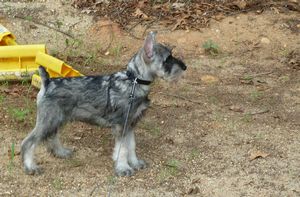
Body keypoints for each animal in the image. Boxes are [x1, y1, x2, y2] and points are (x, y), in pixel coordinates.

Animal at [20, 31, 185, 176]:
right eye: (168, 59)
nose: (184, 67)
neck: (134, 81)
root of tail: (47, 82)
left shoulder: (131, 124)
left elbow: (131, 146)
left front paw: (135, 163)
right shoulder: (121, 125)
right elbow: (122, 149)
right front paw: (123, 168)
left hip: (57, 119)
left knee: (52, 136)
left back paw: (61, 152)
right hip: (48, 120)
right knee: (28, 142)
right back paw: (31, 167)